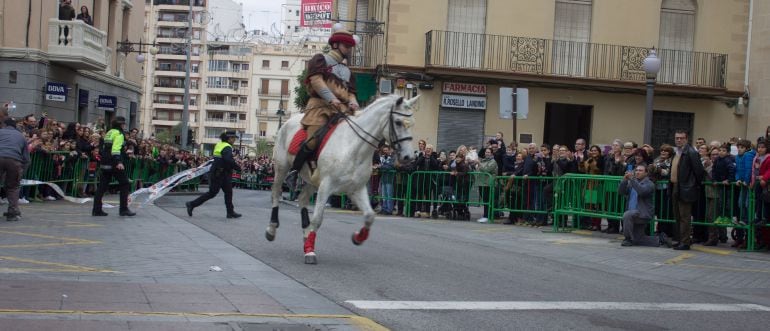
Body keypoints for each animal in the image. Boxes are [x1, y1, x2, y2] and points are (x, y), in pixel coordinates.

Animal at [268, 94, 416, 264]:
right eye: (398, 122)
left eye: (412, 123)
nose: (409, 157)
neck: (353, 148)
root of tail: (287, 123)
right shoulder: (326, 186)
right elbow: (317, 219)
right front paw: (310, 251)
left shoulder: (356, 189)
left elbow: (369, 216)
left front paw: (358, 237)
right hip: (281, 168)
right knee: (276, 193)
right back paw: (272, 229)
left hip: (312, 181)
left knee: (303, 198)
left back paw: (306, 236)